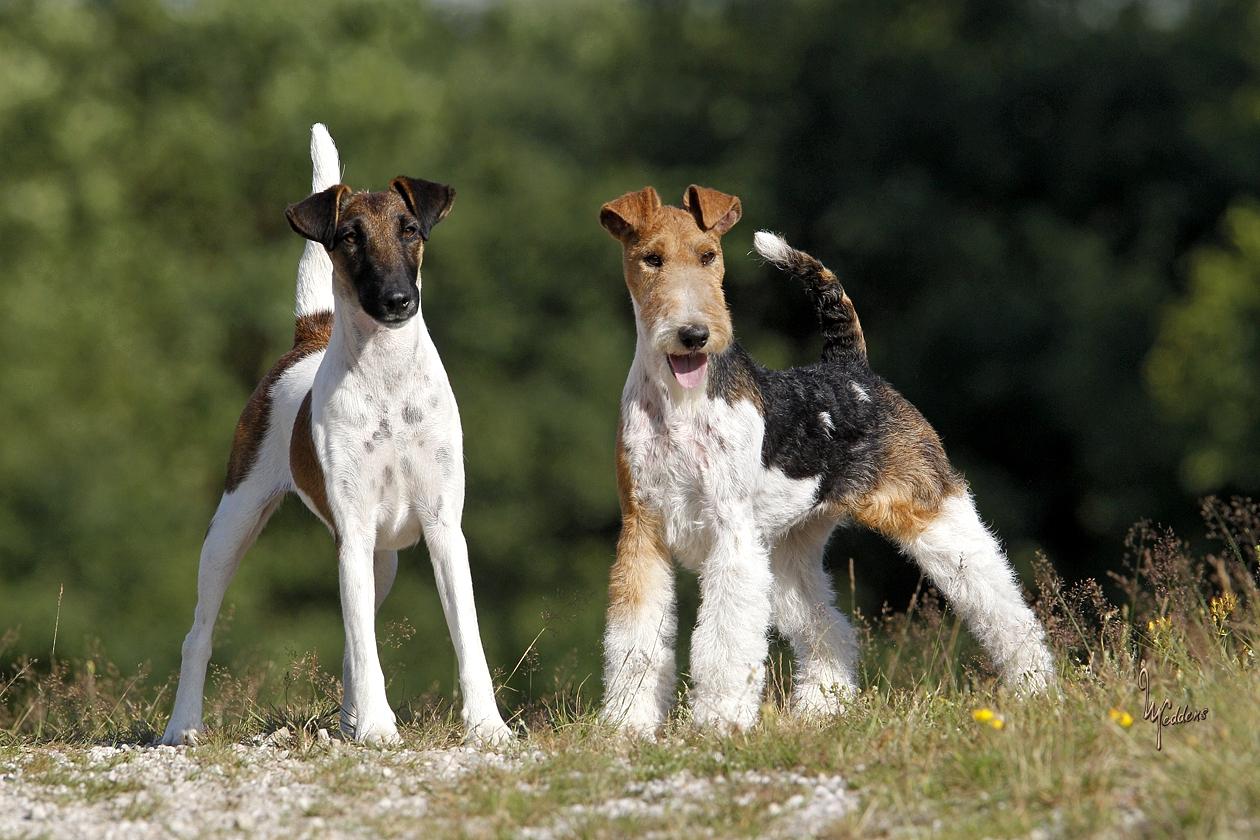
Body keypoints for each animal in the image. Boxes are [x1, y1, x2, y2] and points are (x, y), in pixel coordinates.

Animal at [162, 126, 511, 750]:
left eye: (411, 230)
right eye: (348, 237)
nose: (398, 300)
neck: (387, 379)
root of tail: (310, 335)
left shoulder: (445, 528)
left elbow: (467, 640)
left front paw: (487, 727)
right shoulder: (352, 527)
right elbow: (365, 645)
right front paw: (378, 726)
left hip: (380, 561)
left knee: (356, 638)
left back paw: (349, 719)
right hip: (233, 526)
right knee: (200, 633)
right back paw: (184, 726)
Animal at [597, 187, 1053, 740]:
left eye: (708, 255)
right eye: (652, 259)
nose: (694, 334)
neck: (680, 402)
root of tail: (852, 369)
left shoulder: (731, 536)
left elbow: (723, 645)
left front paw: (719, 724)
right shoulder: (643, 532)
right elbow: (636, 643)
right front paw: (626, 729)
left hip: (932, 512)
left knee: (1004, 606)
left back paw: (1035, 687)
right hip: (789, 549)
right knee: (829, 630)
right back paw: (821, 709)